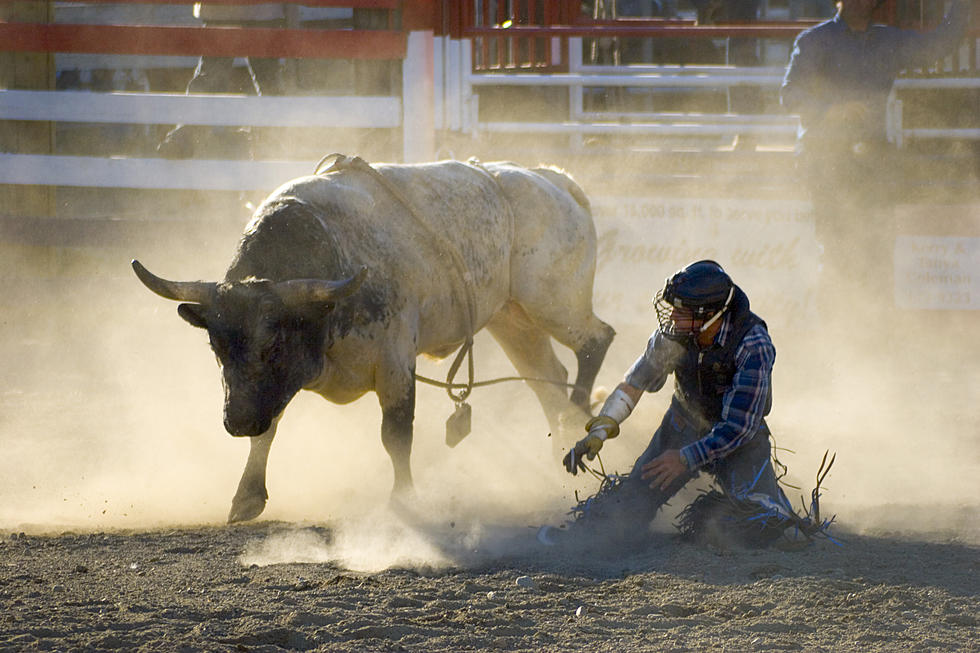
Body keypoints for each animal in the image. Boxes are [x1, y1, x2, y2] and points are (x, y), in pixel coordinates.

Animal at [135, 155, 616, 524]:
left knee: (595, 341)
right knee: (546, 377)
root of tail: (554, 179)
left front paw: (403, 500)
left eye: (272, 345)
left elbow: (395, 434)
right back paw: (561, 434)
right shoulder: (269, 390)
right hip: (512, 318)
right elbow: (268, 430)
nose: (235, 422)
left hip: (553, 301)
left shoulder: (395, 360)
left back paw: (577, 411)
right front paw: (246, 497)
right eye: (216, 347)